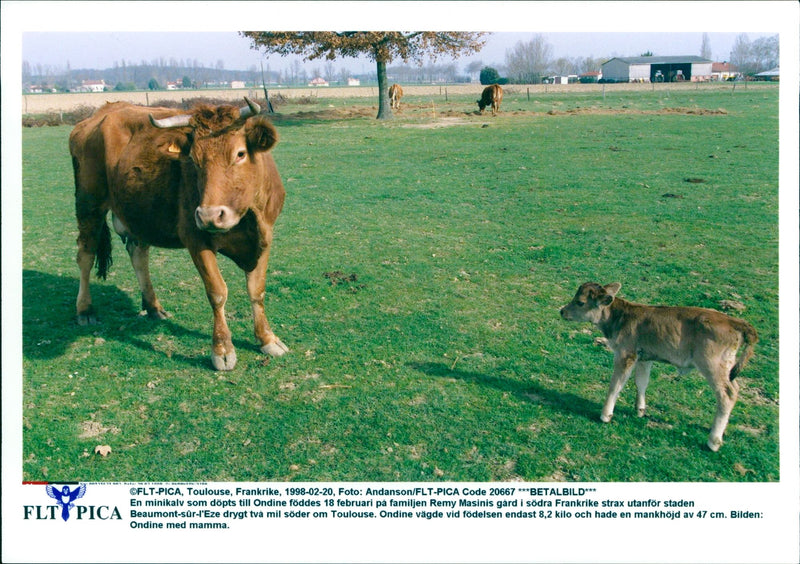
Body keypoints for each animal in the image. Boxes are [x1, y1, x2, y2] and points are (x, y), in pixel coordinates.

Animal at [69, 98, 288, 370]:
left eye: (240, 154)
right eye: (193, 159)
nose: (209, 215)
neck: (247, 219)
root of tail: (101, 113)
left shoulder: (265, 236)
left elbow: (257, 290)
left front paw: (267, 339)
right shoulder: (195, 239)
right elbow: (217, 292)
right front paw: (222, 350)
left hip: (138, 214)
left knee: (138, 255)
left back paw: (153, 307)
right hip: (88, 205)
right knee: (85, 256)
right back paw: (85, 310)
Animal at [560, 284, 760, 452]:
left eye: (580, 302)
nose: (562, 311)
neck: (620, 318)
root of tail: (735, 322)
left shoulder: (625, 354)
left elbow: (616, 385)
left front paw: (605, 415)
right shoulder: (644, 357)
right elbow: (641, 382)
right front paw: (640, 409)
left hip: (712, 365)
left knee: (728, 394)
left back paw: (713, 441)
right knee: (735, 388)